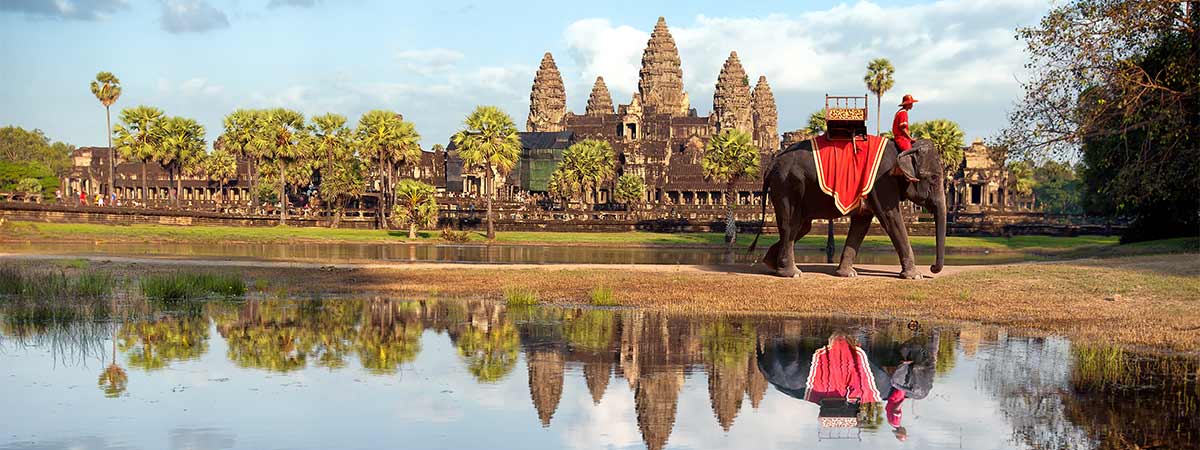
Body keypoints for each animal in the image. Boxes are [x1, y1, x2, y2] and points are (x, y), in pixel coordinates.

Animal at [749, 138, 947, 279]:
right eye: (934, 178)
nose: (932, 268)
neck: (905, 146)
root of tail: (770, 166)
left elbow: (862, 223)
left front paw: (847, 274)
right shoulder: (882, 182)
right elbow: (890, 218)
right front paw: (916, 276)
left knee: (801, 227)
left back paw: (772, 264)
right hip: (787, 186)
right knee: (791, 225)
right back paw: (792, 273)